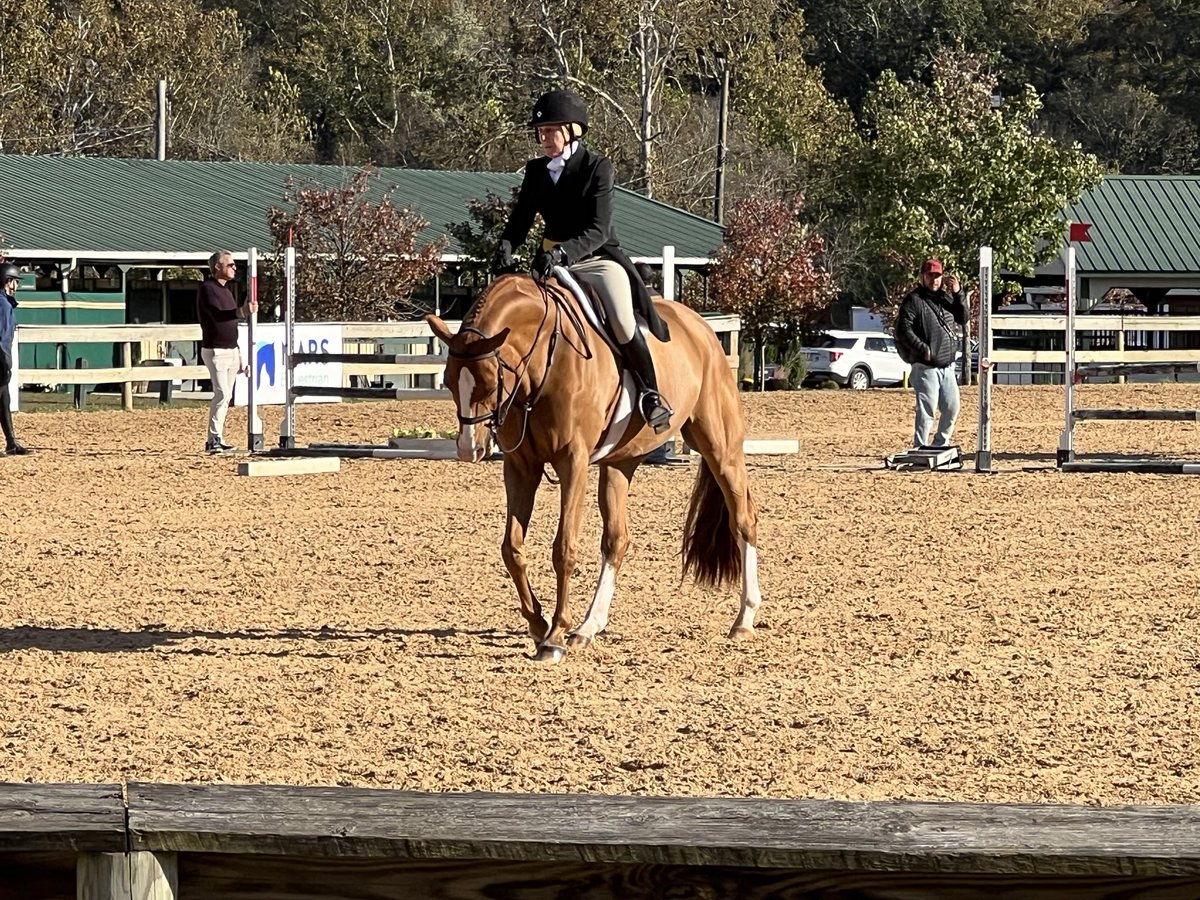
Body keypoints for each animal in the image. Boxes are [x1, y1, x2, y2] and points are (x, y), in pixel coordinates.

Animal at [427, 273, 761, 662]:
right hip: (620, 462)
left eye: (489, 380)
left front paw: (555, 635)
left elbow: (563, 548)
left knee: (743, 519)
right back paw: (589, 627)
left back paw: (744, 620)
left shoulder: (573, 462)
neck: (545, 360)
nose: (470, 449)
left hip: (719, 446)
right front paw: (539, 624)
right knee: (617, 539)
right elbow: (511, 548)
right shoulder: (521, 466)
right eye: (450, 381)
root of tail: (702, 327)